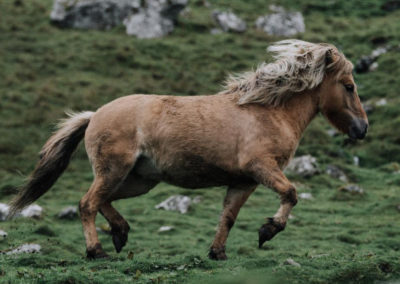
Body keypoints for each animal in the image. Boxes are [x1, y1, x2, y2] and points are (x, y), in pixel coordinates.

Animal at [7, 39, 368, 260]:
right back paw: (98, 250)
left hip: (138, 180)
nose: (362, 129)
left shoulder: (243, 181)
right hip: (114, 171)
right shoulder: (261, 167)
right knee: (87, 204)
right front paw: (267, 231)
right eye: (349, 86)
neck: (267, 110)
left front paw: (217, 253)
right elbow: (291, 193)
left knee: (102, 202)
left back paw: (121, 234)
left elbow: (228, 218)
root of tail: (94, 114)